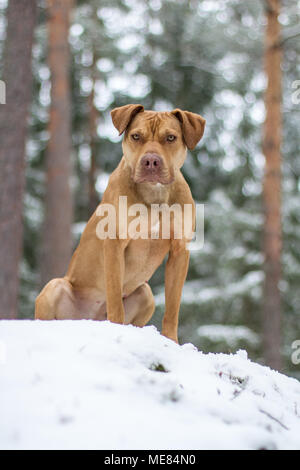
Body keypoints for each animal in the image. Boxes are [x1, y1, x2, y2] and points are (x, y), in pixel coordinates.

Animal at [34, 104, 205, 342]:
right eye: (136, 136)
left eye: (171, 137)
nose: (151, 161)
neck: (154, 194)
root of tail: (86, 321)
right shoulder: (115, 244)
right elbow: (115, 299)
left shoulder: (179, 251)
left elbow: (172, 307)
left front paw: (171, 341)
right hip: (55, 286)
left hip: (146, 293)